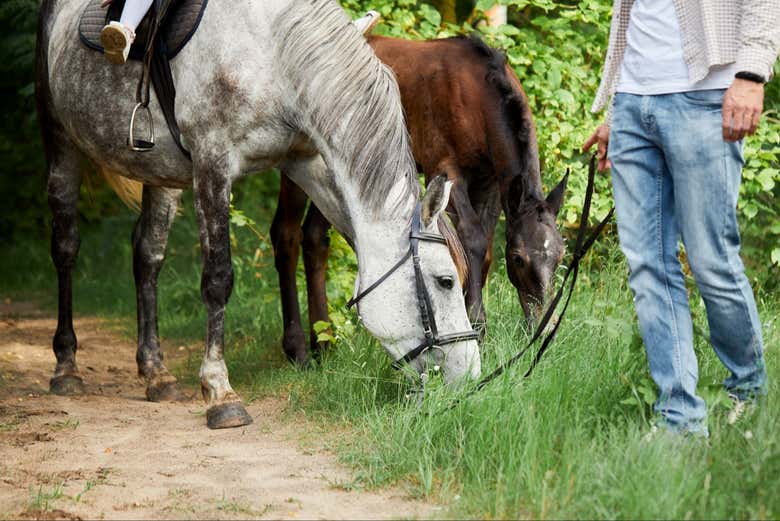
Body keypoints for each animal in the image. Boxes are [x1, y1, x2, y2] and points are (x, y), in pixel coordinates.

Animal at [36, 0, 480, 429]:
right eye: (444, 281)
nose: (470, 374)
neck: (276, 52)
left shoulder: (308, 164)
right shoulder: (213, 164)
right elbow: (218, 280)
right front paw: (220, 391)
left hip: (160, 172)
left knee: (147, 256)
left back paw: (156, 373)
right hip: (61, 142)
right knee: (66, 247)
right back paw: (66, 367)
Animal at [270, 34, 567, 361]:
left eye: (560, 256)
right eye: (517, 258)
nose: (544, 328)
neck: (477, 97)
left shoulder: (488, 183)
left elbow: (484, 247)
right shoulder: (446, 169)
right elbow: (471, 239)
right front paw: (476, 324)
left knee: (314, 237)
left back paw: (323, 343)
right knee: (286, 234)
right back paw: (297, 348)